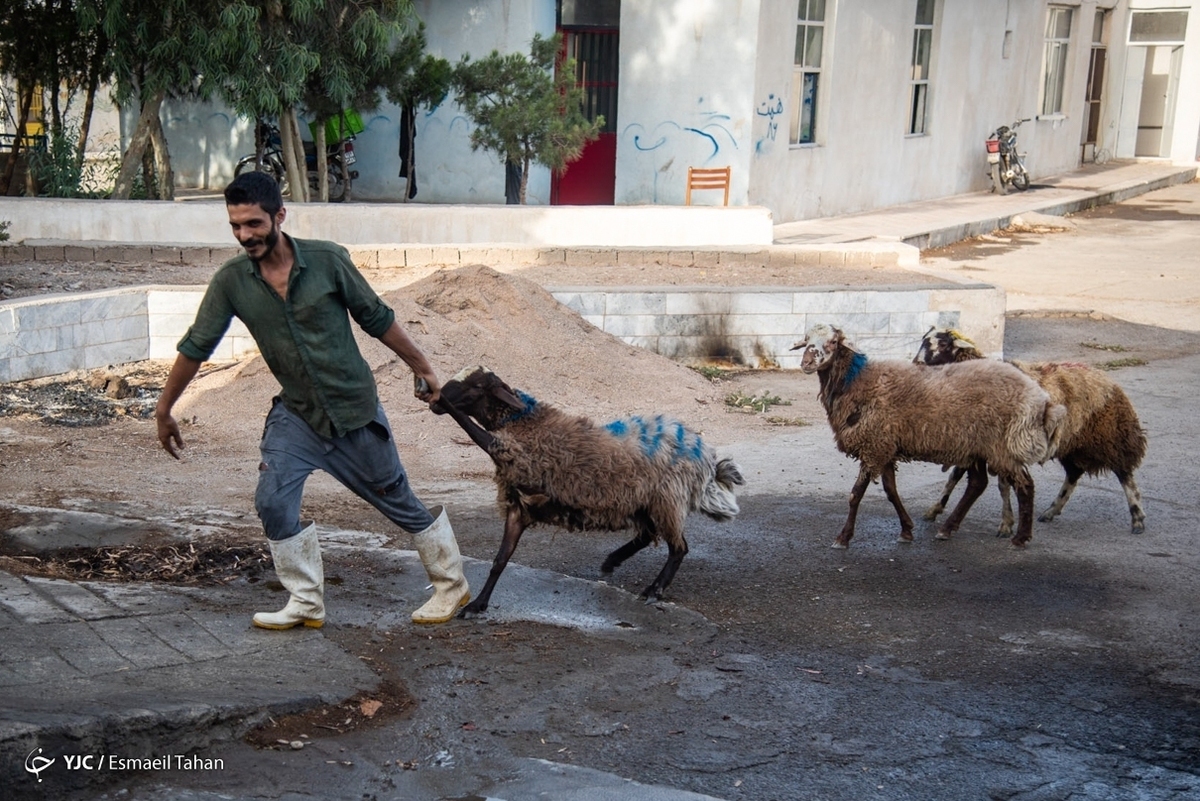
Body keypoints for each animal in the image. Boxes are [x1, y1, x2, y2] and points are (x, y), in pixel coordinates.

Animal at [427, 366, 744, 618]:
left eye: (477, 385)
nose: (435, 400)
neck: (524, 423)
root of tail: (706, 455)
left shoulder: (515, 457)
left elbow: (469, 426)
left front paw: (441, 399)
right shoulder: (519, 507)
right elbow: (499, 560)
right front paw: (477, 605)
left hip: (667, 500)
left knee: (679, 548)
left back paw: (654, 589)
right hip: (642, 501)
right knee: (647, 535)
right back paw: (612, 561)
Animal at [792, 321, 1065, 546]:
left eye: (833, 342)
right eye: (806, 340)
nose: (806, 363)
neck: (857, 381)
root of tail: (1041, 400)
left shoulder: (874, 445)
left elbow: (855, 494)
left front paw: (844, 537)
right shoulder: (886, 446)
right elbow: (891, 492)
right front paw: (906, 530)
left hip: (1003, 446)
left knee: (1025, 485)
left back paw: (1021, 537)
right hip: (976, 444)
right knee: (978, 484)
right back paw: (948, 528)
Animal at [912, 328, 1147, 534]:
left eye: (943, 344)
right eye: (922, 341)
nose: (917, 364)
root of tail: (1105, 378)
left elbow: (999, 485)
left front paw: (1006, 524)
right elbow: (956, 477)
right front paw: (934, 510)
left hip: (1110, 437)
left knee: (1124, 474)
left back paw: (1137, 518)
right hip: (1072, 443)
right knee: (1073, 473)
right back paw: (1051, 511)